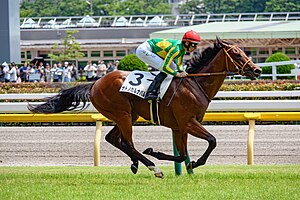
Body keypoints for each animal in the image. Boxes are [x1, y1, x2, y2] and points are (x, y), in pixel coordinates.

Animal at [29, 38, 262, 177]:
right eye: (238, 54)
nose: (258, 70)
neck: (195, 83)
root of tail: (95, 83)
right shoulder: (188, 122)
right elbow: (212, 141)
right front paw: (186, 162)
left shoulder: (180, 126)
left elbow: (182, 154)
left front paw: (187, 166)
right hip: (122, 114)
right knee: (128, 143)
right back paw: (152, 166)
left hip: (127, 115)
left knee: (114, 139)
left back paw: (136, 163)